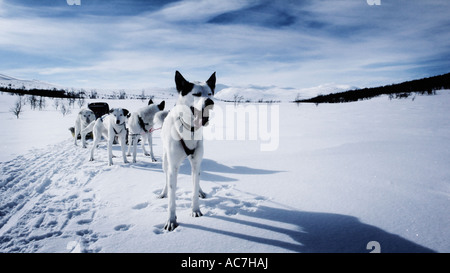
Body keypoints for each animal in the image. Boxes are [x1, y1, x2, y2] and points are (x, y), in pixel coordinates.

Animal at [156, 69, 216, 230]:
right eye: (196, 94)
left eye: (210, 94)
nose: (210, 102)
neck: (190, 129)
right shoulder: (173, 167)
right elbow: (172, 199)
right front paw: (171, 220)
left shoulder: (196, 162)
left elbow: (194, 189)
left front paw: (195, 210)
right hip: (165, 162)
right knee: (166, 179)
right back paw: (163, 192)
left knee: (197, 178)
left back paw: (201, 191)